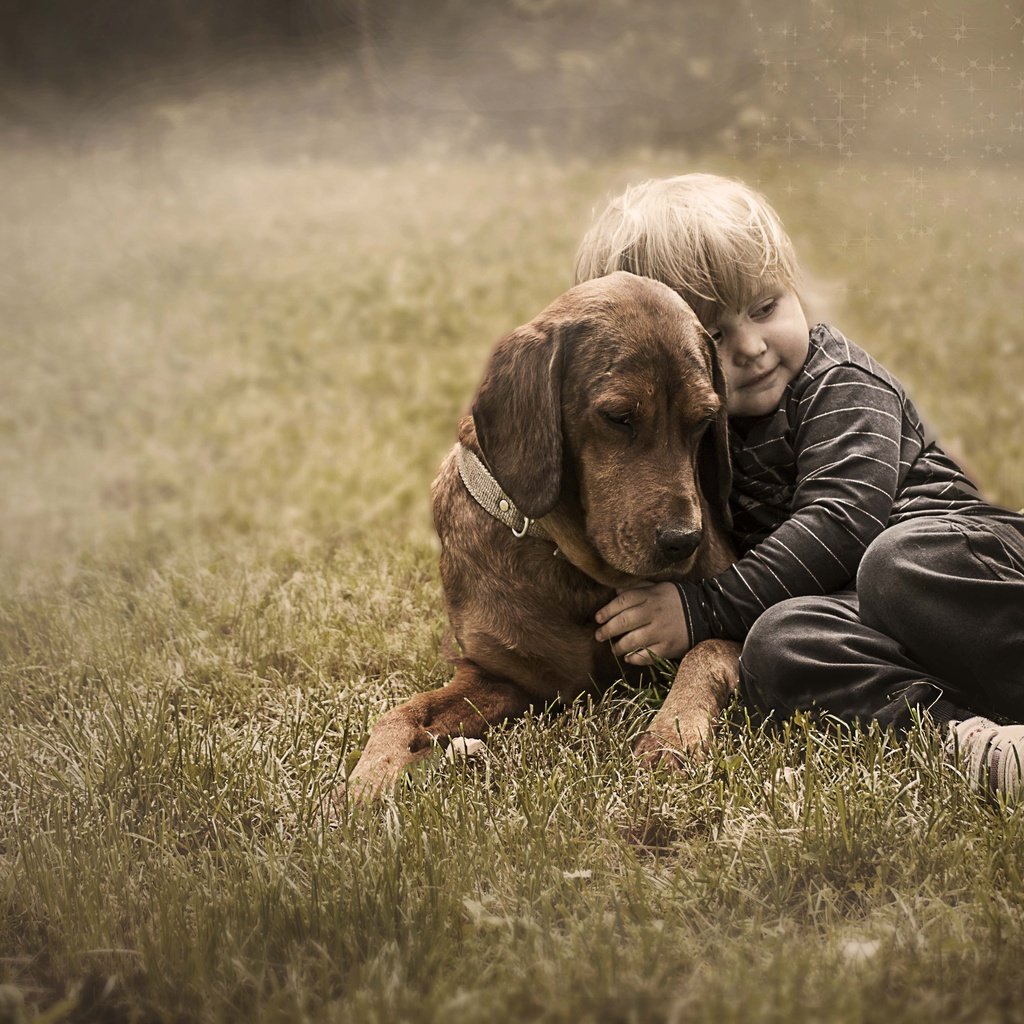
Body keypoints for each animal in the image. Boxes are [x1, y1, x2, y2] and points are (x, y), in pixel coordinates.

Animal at [339, 276, 741, 802]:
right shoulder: (502, 678)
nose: (684, 541)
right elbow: (401, 713)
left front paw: (673, 734)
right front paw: (368, 777)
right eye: (619, 416)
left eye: (704, 420)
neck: (576, 569)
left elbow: (704, 651)